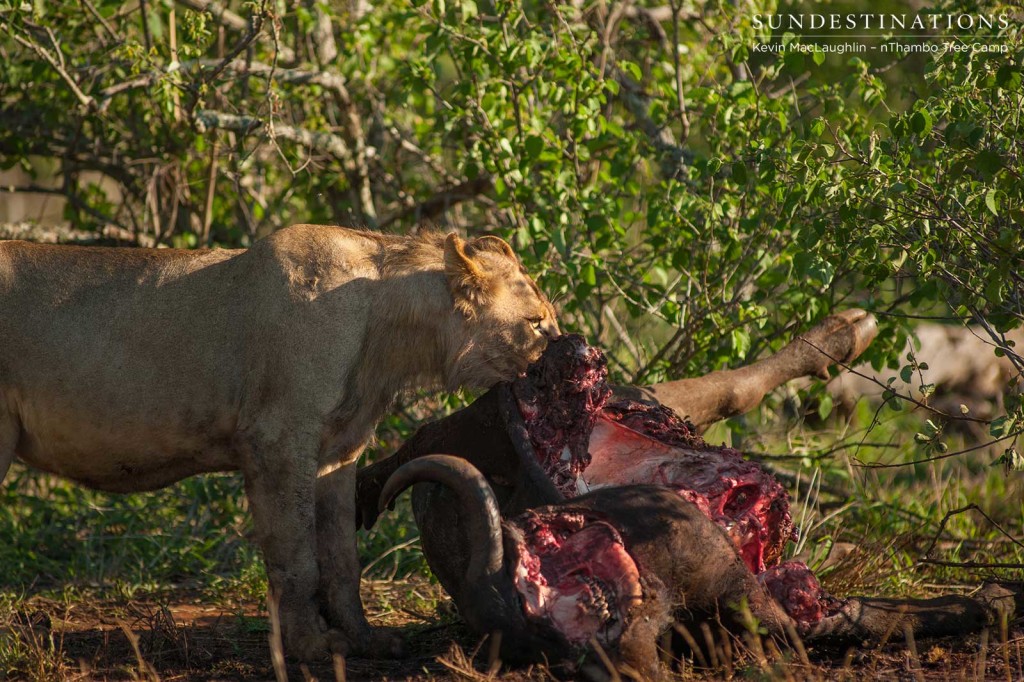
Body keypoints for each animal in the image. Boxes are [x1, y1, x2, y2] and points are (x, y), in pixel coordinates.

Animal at [0, 223, 561, 659]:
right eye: (536, 324)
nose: (571, 344)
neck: (388, 332)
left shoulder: (339, 454)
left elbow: (342, 559)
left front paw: (366, 640)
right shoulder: (277, 442)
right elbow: (297, 558)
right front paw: (313, 646)